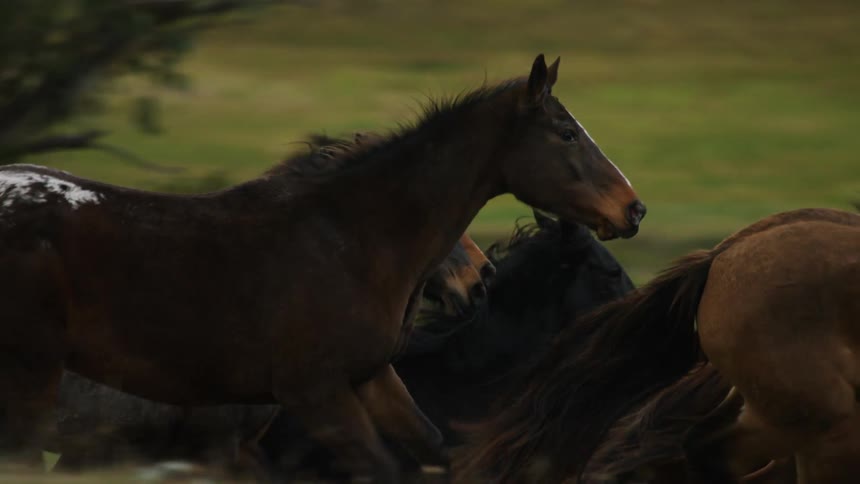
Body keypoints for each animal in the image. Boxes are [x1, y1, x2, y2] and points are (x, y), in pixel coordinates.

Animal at [0, 53, 645, 482]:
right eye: (567, 132)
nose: (633, 208)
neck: (345, 240)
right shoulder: (315, 395)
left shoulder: (370, 379)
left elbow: (435, 451)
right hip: (33, 378)